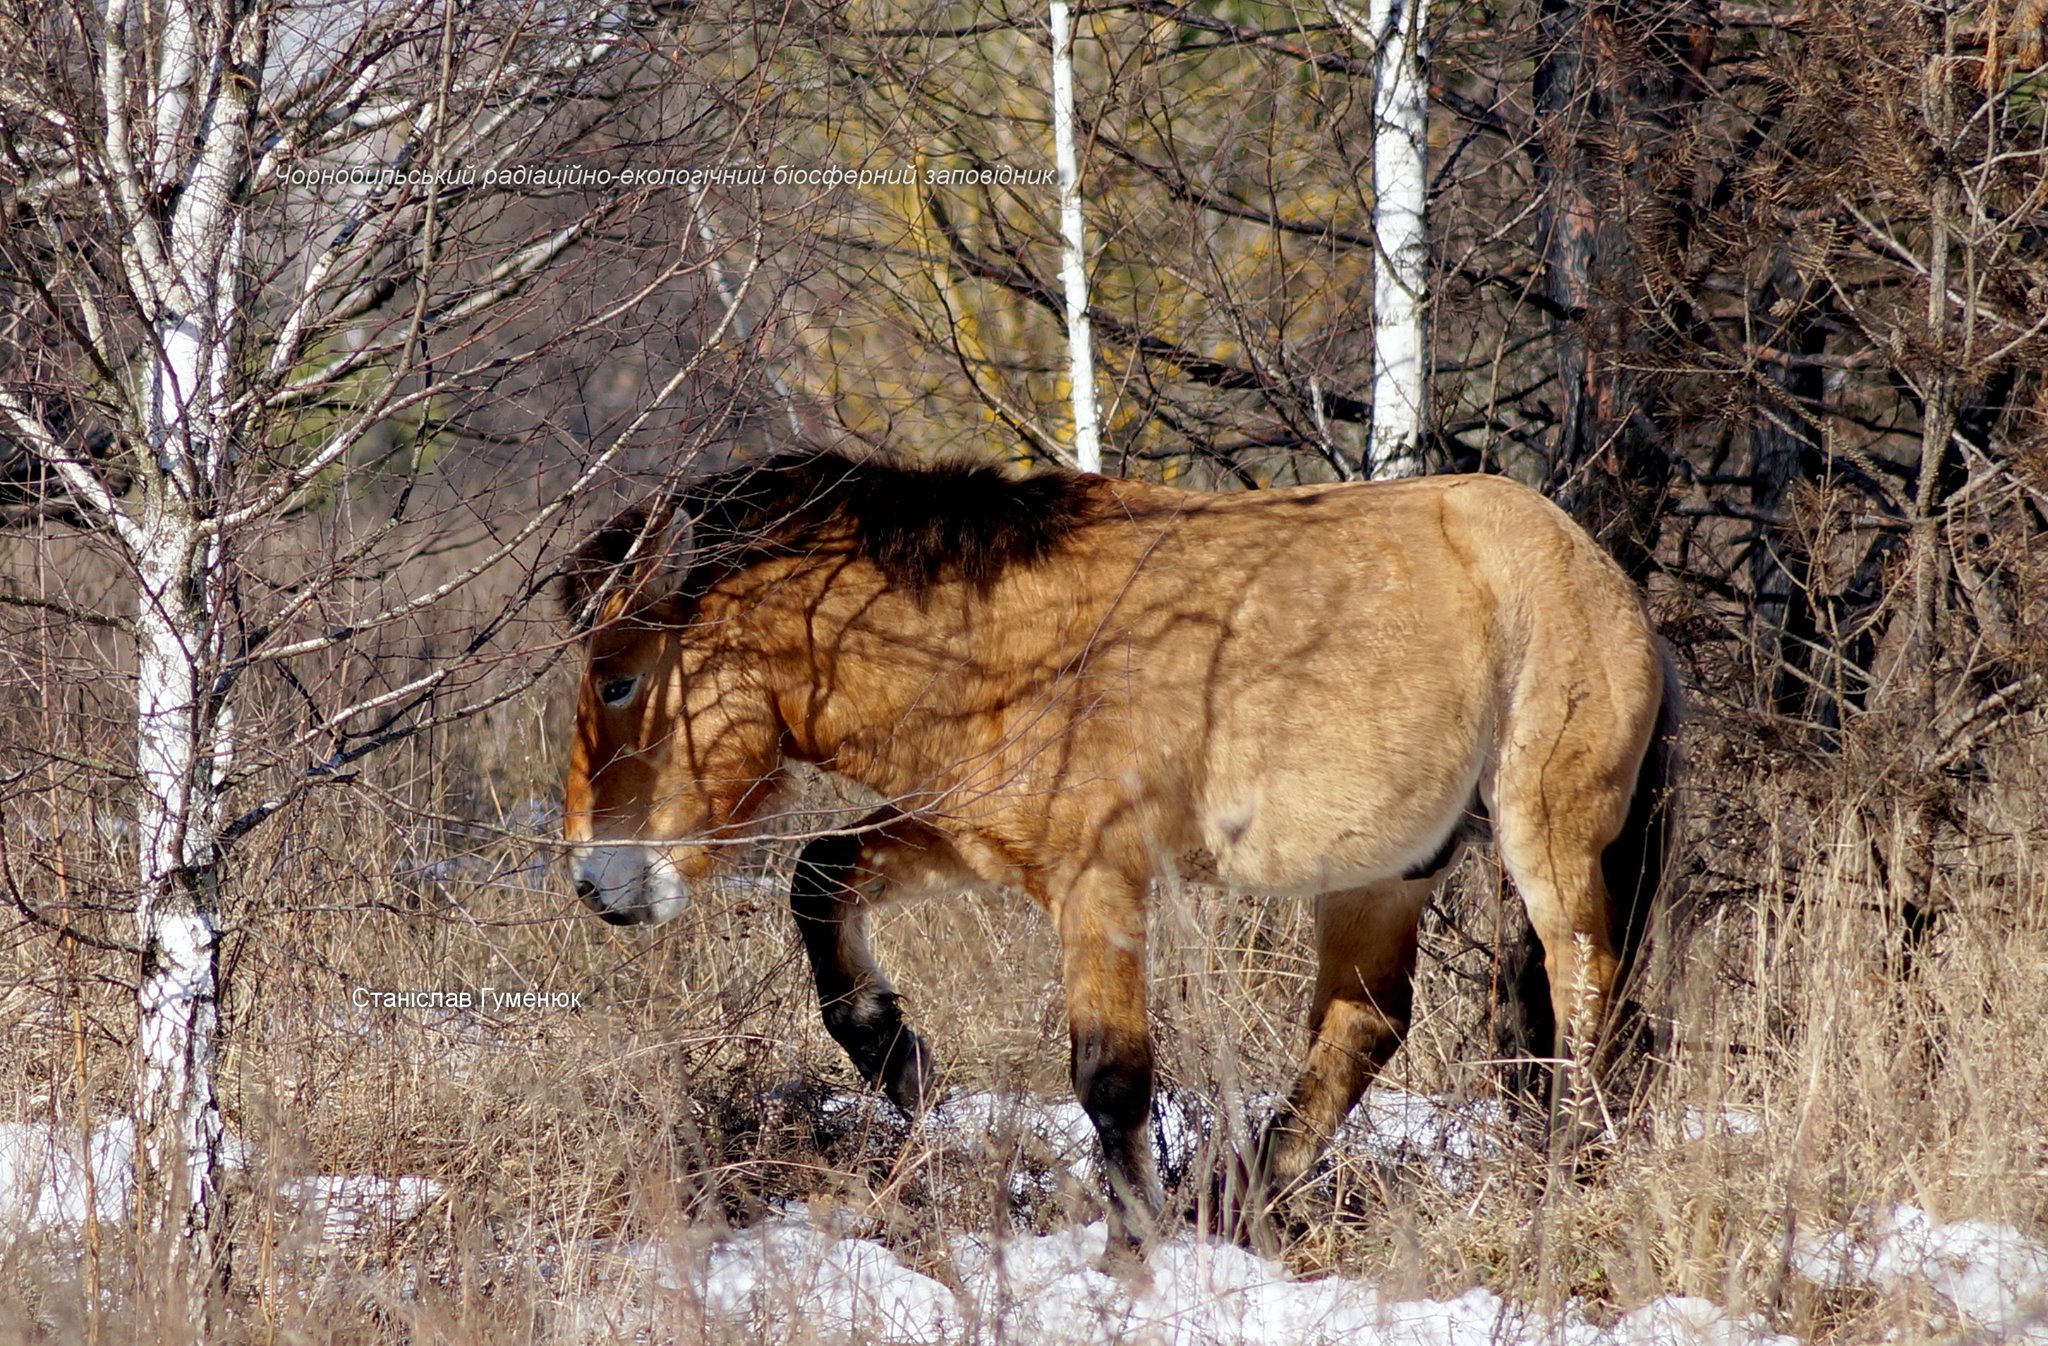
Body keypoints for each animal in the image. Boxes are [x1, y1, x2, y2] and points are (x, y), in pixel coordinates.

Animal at [552, 454, 1671, 1245]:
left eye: (618, 678)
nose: (596, 883)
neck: (1003, 645)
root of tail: (1601, 574)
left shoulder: (1099, 886)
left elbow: (1112, 1077)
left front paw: (1133, 1247)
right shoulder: (974, 842)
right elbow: (821, 876)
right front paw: (895, 1055)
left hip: (1547, 837)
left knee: (1585, 992)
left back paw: (1566, 1171)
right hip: (1384, 871)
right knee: (1364, 1025)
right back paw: (1241, 1203)